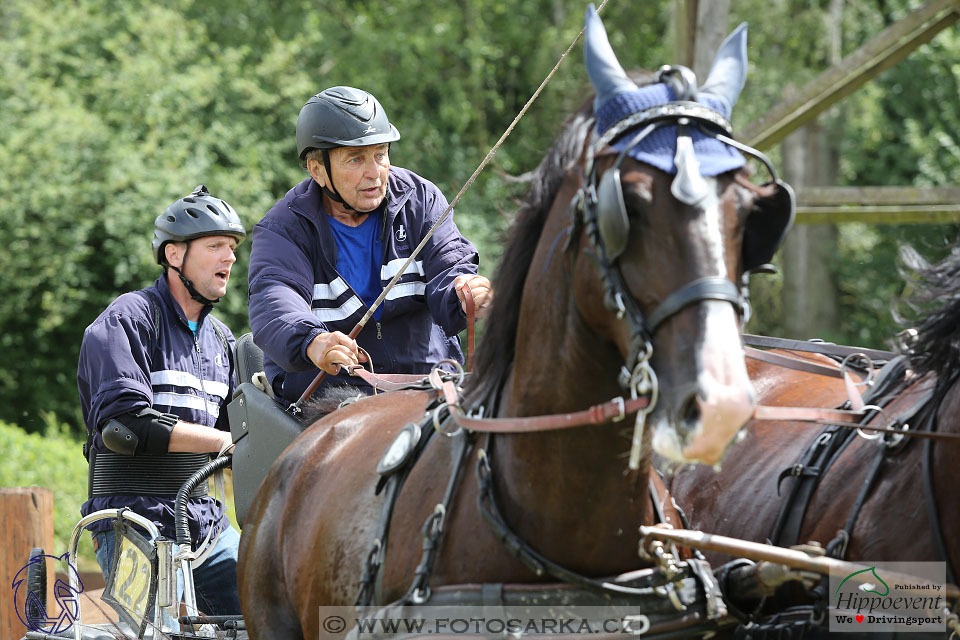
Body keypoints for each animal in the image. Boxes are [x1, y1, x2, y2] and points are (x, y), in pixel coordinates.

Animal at [238, 8, 796, 640]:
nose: (722, 402)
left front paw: (469, 290)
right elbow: (277, 292)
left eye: (749, 210)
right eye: (627, 205)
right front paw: (326, 346)